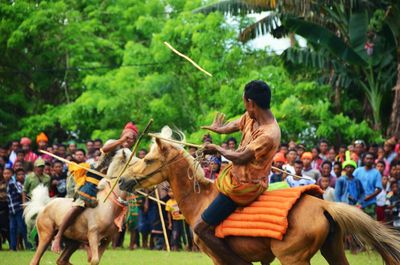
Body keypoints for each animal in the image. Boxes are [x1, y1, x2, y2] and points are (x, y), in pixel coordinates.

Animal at [119, 127, 400, 264]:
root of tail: (324, 207)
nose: (123, 180)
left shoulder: (220, 261)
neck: (200, 200)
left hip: (294, 259)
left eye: (148, 159)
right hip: (333, 250)